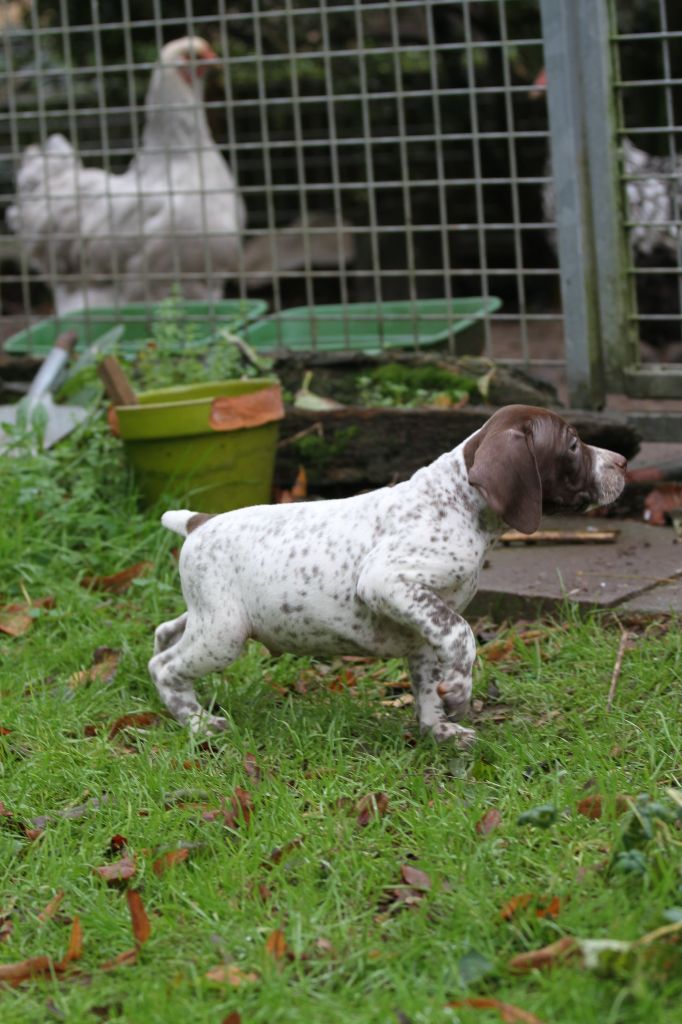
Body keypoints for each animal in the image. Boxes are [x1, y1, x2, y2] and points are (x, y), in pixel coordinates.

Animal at [150, 403, 626, 749]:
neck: (458, 503)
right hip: (225, 632)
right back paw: (197, 723)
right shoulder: (387, 583)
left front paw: (439, 730)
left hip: (210, 615)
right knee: (165, 666)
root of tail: (200, 521)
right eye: (572, 444)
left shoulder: (423, 630)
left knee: (165, 630)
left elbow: (429, 683)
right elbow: (463, 633)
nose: (622, 461)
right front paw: (461, 690)